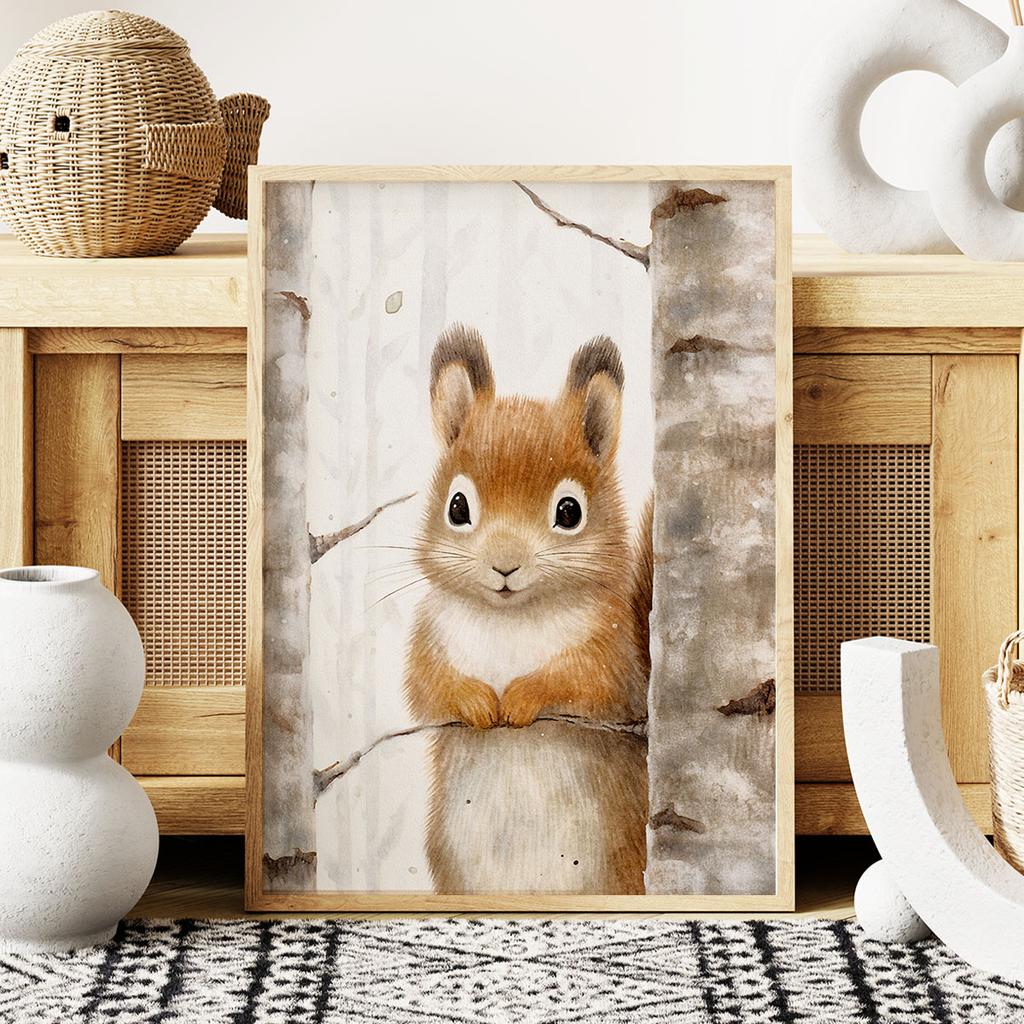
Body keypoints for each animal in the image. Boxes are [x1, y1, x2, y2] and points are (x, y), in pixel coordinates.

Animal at [403, 323, 652, 895]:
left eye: (570, 511)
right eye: (457, 507)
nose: (505, 565)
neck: (510, 619)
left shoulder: (615, 654)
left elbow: (585, 682)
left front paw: (521, 697)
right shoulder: (430, 636)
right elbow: (428, 687)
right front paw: (475, 700)